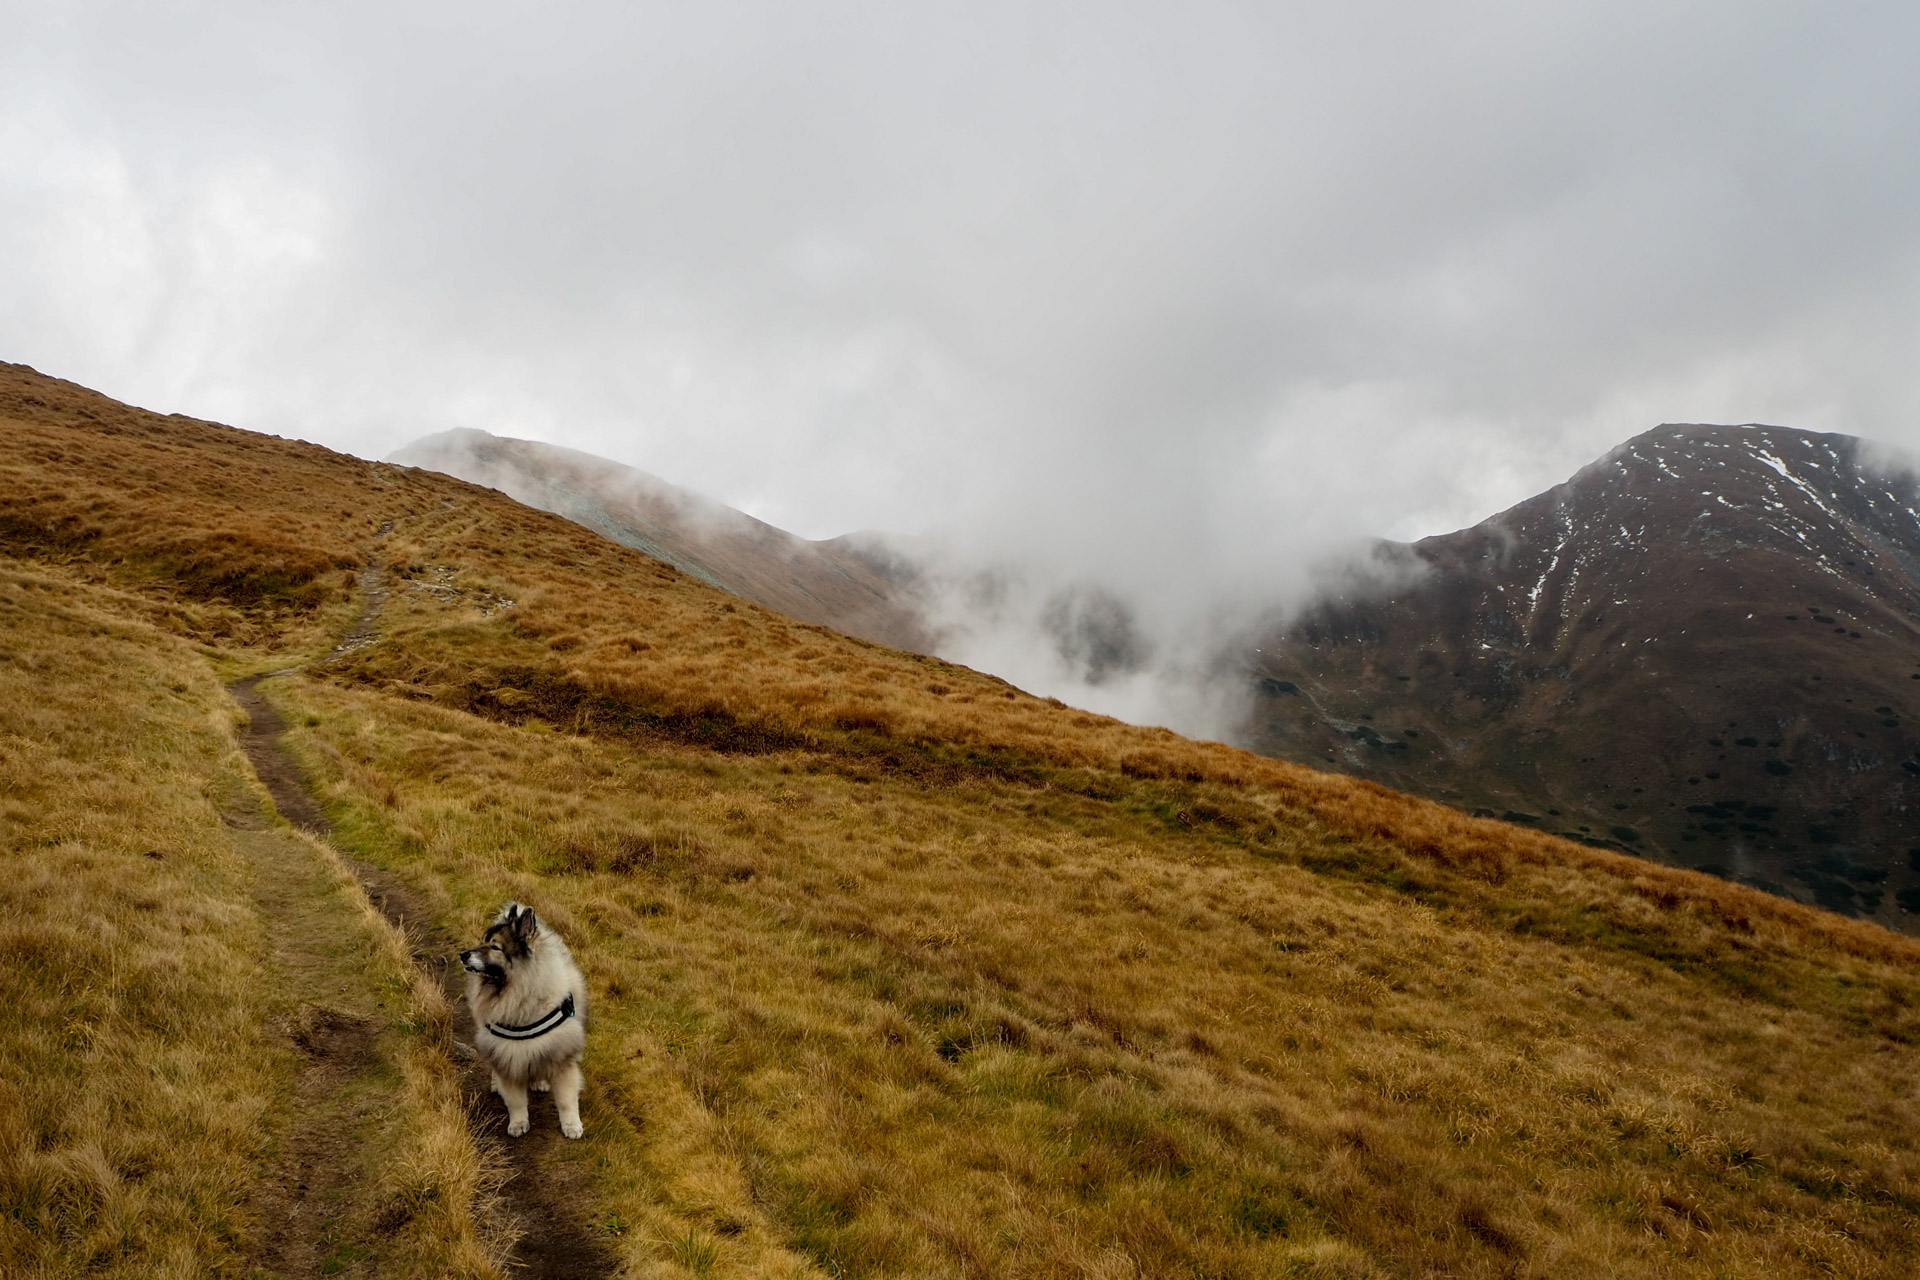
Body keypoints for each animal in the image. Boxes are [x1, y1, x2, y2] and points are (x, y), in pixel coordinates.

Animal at [462, 901, 583, 1143]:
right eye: (483, 941)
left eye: (495, 947)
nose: (463, 955)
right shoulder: (507, 1056)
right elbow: (515, 1100)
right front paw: (518, 1123)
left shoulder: (561, 1056)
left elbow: (567, 1099)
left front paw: (572, 1125)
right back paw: (496, 1084)